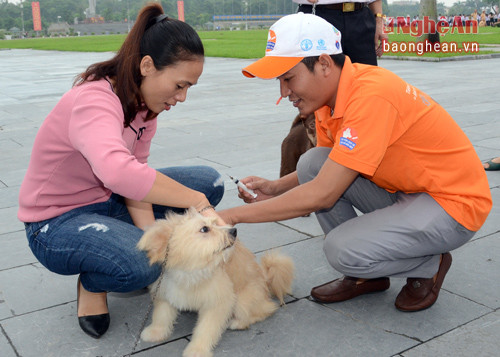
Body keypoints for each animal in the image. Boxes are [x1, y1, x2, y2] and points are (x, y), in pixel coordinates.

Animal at [136, 207, 292, 354]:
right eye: (204, 229)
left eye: (215, 223)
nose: (233, 230)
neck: (191, 272)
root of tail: (266, 280)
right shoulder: (164, 291)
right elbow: (161, 315)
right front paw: (156, 332)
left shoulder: (217, 302)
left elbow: (206, 328)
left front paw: (197, 350)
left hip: (242, 301)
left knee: (264, 310)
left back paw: (237, 322)